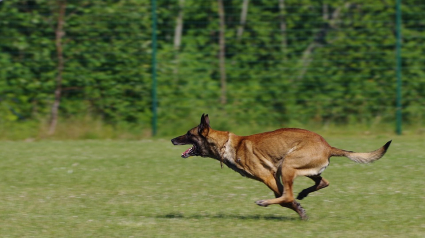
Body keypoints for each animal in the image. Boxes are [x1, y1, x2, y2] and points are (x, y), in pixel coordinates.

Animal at [171, 113, 390, 219]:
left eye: (188, 134)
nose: (173, 139)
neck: (227, 144)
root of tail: (328, 146)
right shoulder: (274, 177)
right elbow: (286, 198)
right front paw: (300, 208)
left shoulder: (268, 176)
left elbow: (285, 199)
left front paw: (298, 210)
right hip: (301, 169)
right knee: (322, 182)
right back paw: (304, 194)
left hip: (288, 165)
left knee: (290, 195)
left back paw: (266, 202)